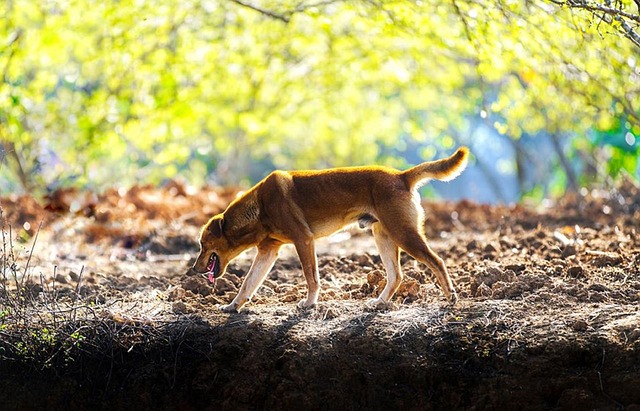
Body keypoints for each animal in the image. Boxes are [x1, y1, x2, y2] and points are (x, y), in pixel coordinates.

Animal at [191, 148, 470, 312]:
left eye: (203, 245)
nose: (193, 269)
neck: (259, 207)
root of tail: (401, 176)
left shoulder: (303, 240)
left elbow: (311, 277)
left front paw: (309, 303)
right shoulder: (268, 251)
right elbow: (248, 283)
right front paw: (233, 306)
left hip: (403, 233)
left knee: (437, 261)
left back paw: (450, 296)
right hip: (383, 236)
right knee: (396, 276)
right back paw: (380, 302)